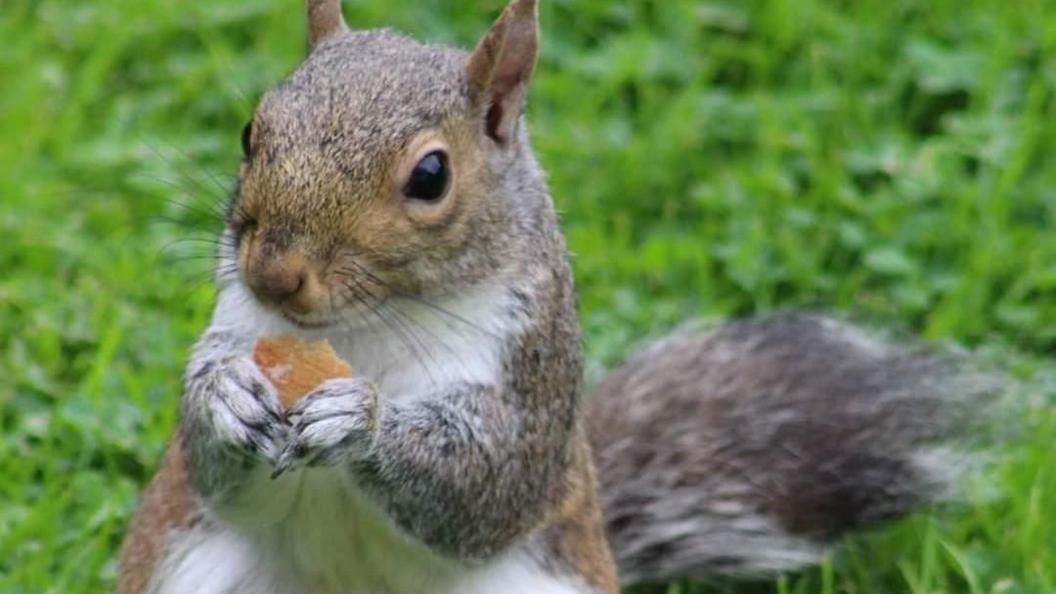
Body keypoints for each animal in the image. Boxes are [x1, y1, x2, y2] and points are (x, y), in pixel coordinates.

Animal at [117, 1, 988, 591]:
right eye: (250, 131)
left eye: (430, 176)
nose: (274, 272)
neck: (367, 326)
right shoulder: (238, 330)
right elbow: (216, 476)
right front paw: (225, 396)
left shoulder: (532, 367)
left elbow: (486, 485)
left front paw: (361, 419)